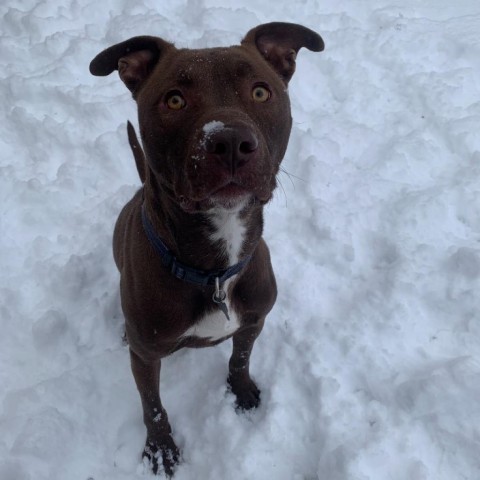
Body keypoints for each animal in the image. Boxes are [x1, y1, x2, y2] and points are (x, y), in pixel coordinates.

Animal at [89, 23, 322, 476]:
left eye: (261, 92)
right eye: (174, 99)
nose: (229, 141)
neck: (214, 268)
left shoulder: (253, 322)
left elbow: (240, 359)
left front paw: (242, 391)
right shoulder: (146, 357)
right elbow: (153, 405)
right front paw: (161, 448)